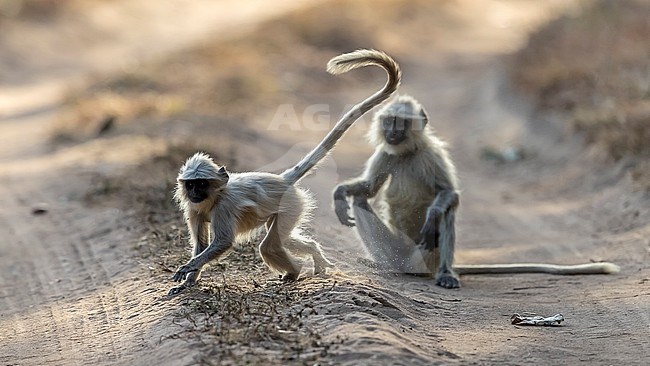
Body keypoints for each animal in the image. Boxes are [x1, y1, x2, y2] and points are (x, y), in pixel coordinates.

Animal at [167, 49, 400, 294]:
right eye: (191, 184)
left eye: (201, 183)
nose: (194, 193)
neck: (215, 195)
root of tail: (282, 180)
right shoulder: (194, 209)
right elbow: (201, 244)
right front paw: (188, 282)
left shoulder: (225, 206)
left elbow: (223, 242)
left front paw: (188, 269)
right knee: (283, 240)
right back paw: (313, 254)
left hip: (292, 204)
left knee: (270, 245)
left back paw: (294, 272)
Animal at [332, 95, 620, 288]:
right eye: (389, 122)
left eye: (401, 123)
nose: (391, 132)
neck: (408, 153)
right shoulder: (386, 154)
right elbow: (368, 189)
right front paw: (339, 194)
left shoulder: (434, 154)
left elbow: (449, 195)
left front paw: (433, 214)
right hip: (397, 251)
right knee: (360, 199)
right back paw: (382, 265)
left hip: (426, 256)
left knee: (447, 211)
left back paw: (445, 273)